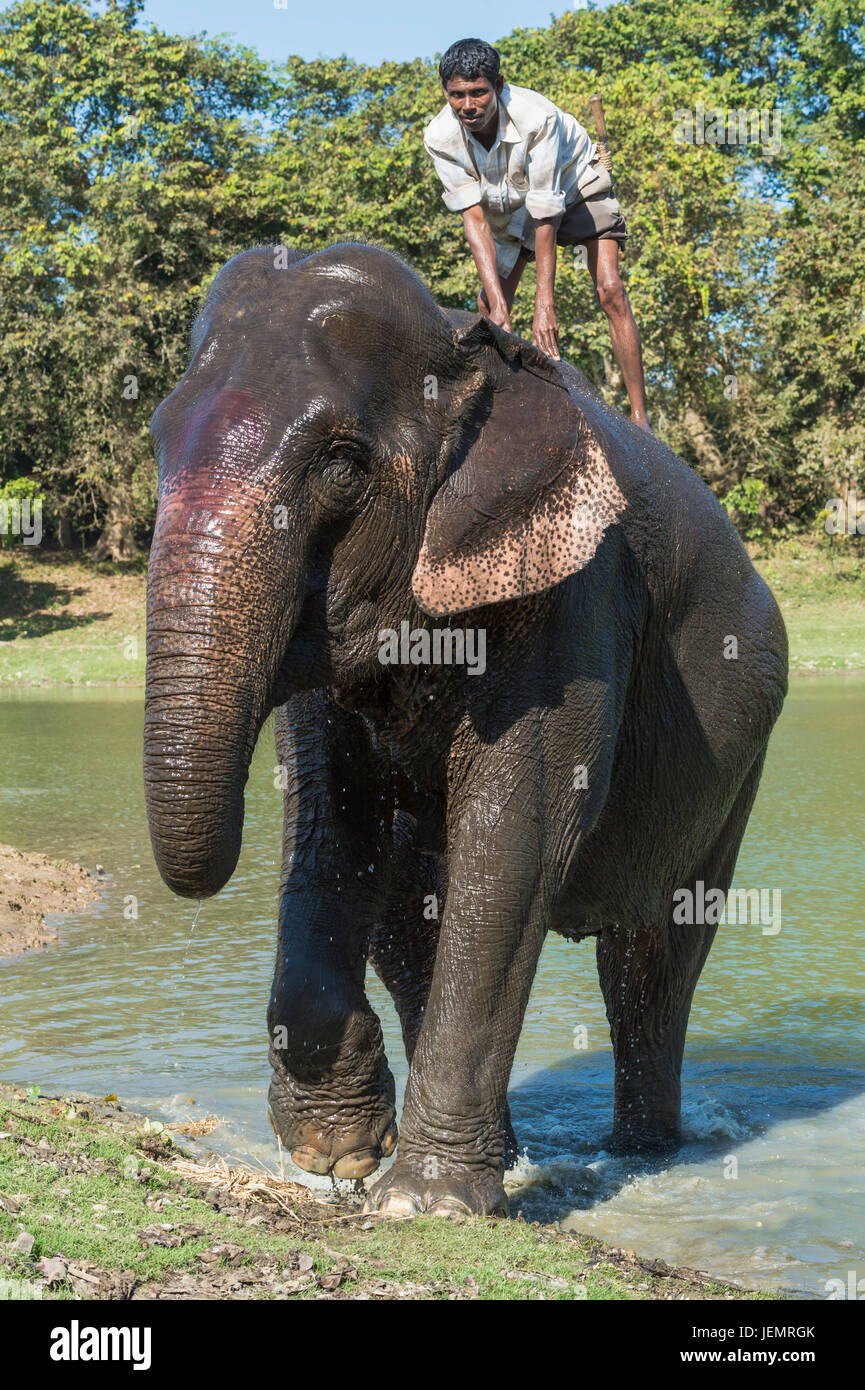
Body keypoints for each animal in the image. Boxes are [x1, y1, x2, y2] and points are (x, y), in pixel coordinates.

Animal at [146, 239, 789, 1217]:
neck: (461, 355)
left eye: (341, 465)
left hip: (739, 761)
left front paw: (423, 1203)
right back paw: (518, 1155)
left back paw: (639, 1155)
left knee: (651, 957)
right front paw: (342, 1154)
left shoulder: (575, 593)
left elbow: (517, 834)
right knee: (413, 909)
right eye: (156, 440)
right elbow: (333, 824)